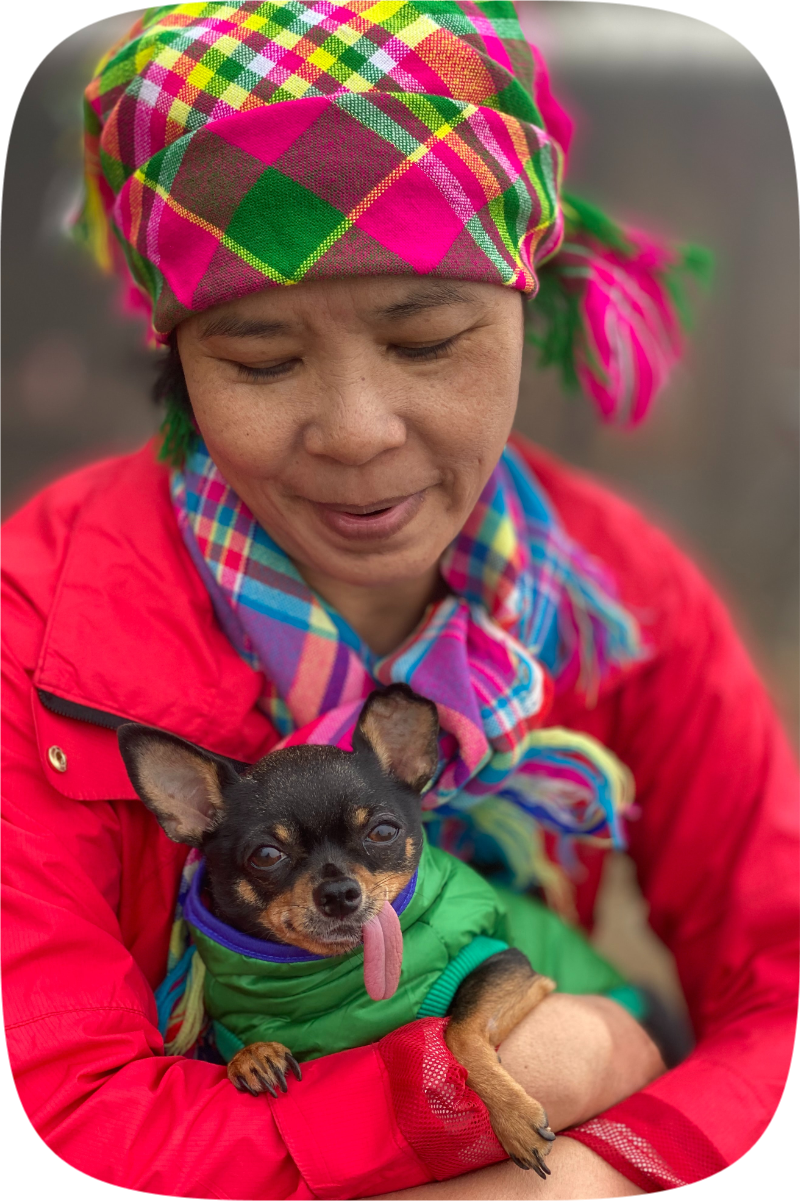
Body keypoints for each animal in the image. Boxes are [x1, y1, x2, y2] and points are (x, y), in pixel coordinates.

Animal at [120, 686, 554, 1172]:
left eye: (383, 831)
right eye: (266, 855)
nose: (339, 892)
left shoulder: (509, 965)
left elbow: (456, 1027)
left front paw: (513, 1116)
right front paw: (253, 1055)